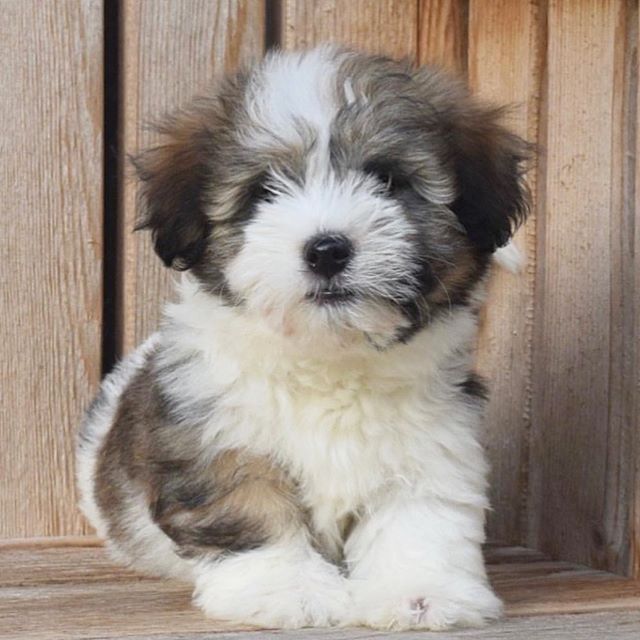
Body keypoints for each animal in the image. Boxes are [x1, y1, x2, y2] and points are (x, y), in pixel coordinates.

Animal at [77, 43, 528, 632]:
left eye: (386, 180)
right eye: (263, 190)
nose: (327, 250)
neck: (328, 358)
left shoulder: (434, 442)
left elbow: (420, 518)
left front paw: (420, 592)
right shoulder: (215, 437)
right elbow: (251, 505)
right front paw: (287, 587)